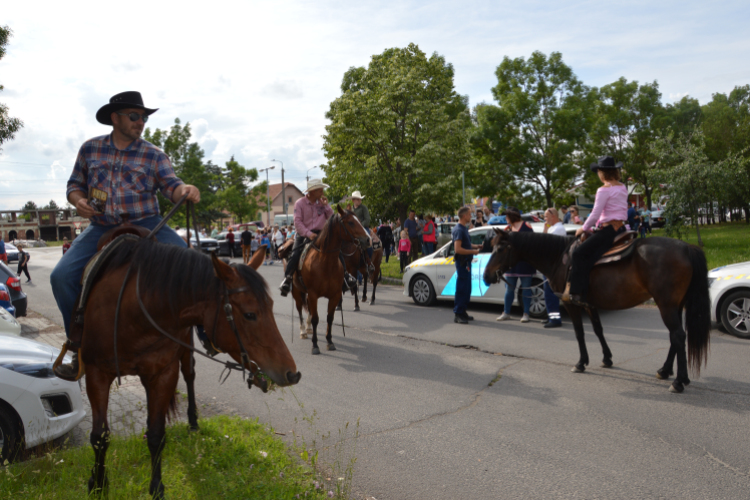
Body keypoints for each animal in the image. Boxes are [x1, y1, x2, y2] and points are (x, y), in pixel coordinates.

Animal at [78, 237, 296, 496]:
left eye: (272, 306)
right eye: (250, 314)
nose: (292, 373)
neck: (133, 314)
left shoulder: (163, 374)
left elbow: (156, 435)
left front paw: (157, 487)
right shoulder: (96, 374)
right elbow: (99, 437)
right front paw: (97, 483)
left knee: (189, 374)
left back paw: (193, 421)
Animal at [290, 205, 370, 354]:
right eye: (351, 222)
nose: (368, 240)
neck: (325, 263)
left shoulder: (334, 295)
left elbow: (329, 318)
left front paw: (329, 341)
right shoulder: (313, 294)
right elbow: (316, 319)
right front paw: (315, 345)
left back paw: (308, 329)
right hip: (297, 292)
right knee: (299, 309)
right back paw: (303, 331)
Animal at [482, 229, 712, 392]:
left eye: (500, 249)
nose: (486, 276)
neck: (558, 258)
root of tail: (686, 247)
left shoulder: (572, 304)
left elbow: (579, 333)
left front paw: (581, 363)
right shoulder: (590, 304)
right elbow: (598, 330)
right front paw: (606, 359)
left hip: (666, 305)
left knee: (678, 335)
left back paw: (679, 381)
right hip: (675, 305)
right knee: (675, 337)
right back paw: (664, 371)